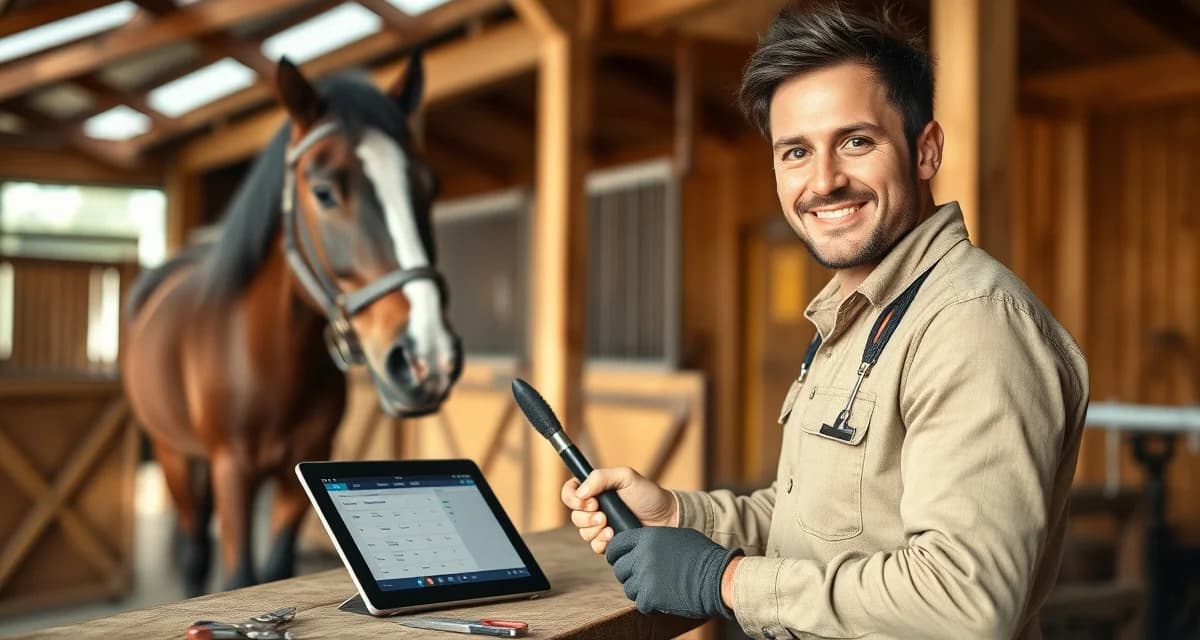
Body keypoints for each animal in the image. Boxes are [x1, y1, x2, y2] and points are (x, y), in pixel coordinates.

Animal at [120, 52, 463, 596]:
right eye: (323, 191)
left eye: (430, 187)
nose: (427, 360)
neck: (266, 357)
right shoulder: (232, 469)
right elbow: (238, 576)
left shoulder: (299, 470)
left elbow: (276, 570)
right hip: (174, 453)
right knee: (194, 550)